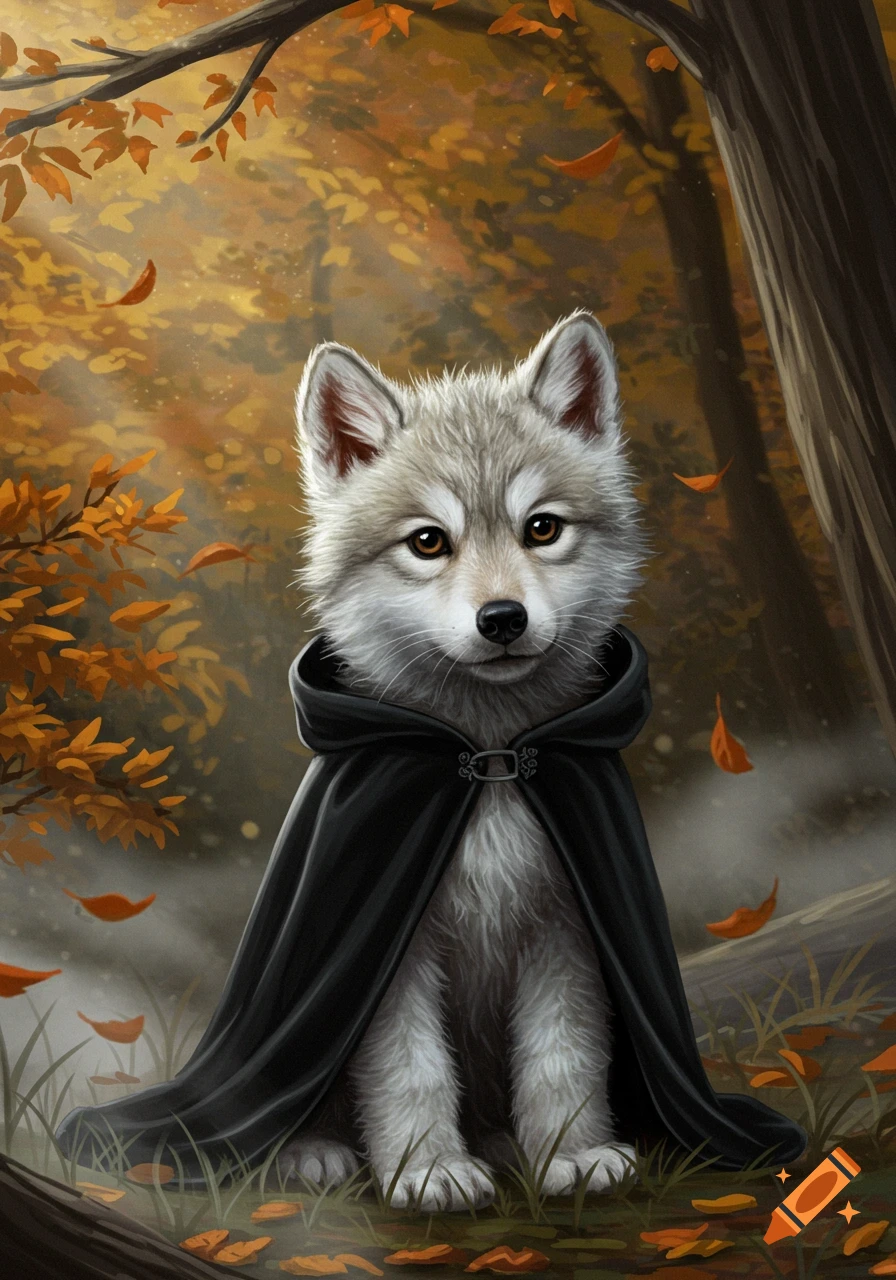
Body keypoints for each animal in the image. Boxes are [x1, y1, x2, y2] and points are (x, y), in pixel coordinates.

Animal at [283, 312, 648, 1212]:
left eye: (541, 527)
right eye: (428, 542)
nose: (503, 619)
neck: (485, 761)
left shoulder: (565, 927)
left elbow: (562, 1061)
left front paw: (570, 1156)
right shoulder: (391, 947)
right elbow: (409, 1070)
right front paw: (427, 1172)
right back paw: (314, 1152)